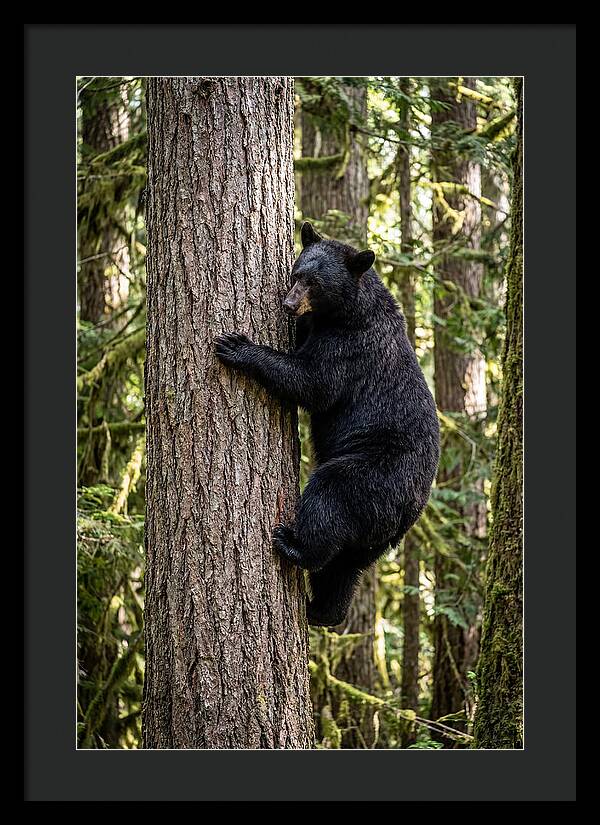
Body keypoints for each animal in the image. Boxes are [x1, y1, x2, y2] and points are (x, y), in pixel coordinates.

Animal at [215, 221, 440, 627]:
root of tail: (410, 510)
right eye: (296, 273)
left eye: (315, 283)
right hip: (374, 535)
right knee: (345, 566)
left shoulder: (349, 347)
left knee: (329, 499)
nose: (289, 304)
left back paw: (292, 545)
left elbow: (312, 382)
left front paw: (237, 346)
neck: (347, 312)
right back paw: (323, 610)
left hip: (372, 475)